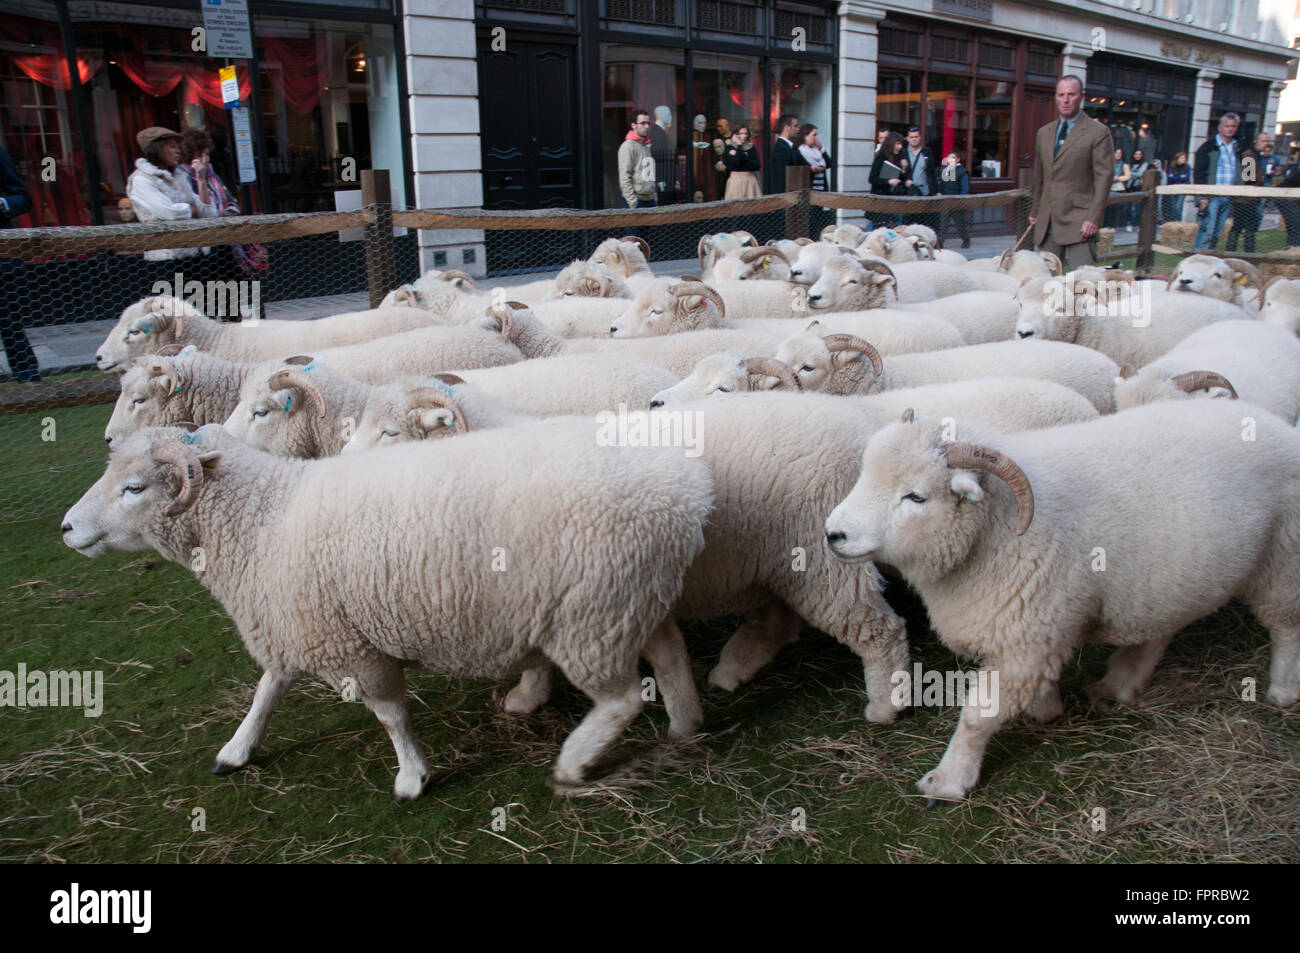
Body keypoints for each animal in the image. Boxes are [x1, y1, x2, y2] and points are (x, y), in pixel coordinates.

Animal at [63, 424, 713, 797]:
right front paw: (236, 750)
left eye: (135, 488)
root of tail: (686, 497)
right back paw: (685, 725)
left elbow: (390, 714)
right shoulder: (294, 624)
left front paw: (411, 778)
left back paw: (574, 764)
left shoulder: (347, 645)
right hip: (631, 599)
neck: (263, 519)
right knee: (671, 654)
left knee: (621, 698)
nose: (67, 528)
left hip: (591, 616)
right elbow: (267, 689)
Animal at [825, 399, 1300, 802]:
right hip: (1172, 575)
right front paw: (1047, 708)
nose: (833, 534)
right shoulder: (1039, 630)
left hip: (1281, 559)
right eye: (865, 473)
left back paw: (1282, 690)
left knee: (1287, 627)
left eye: (916, 496)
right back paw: (1120, 683)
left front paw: (948, 780)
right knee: (1159, 630)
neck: (997, 532)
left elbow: (978, 716)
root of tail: (1273, 422)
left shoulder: (1026, 638)